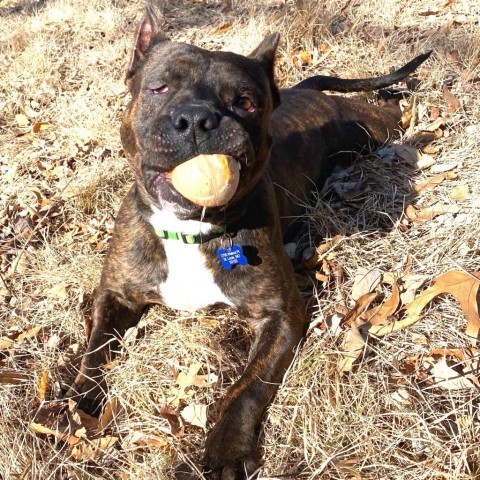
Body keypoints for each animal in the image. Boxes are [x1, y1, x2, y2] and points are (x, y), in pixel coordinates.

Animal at [65, 8, 430, 480]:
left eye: (246, 102)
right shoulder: (115, 294)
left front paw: (225, 450)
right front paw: (77, 402)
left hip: (372, 131)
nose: (197, 119)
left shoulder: (281, 314)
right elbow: (95, 350)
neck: (189, 230)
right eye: (159, 87)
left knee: (390, 112)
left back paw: (397, 93)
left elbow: (247, 387)